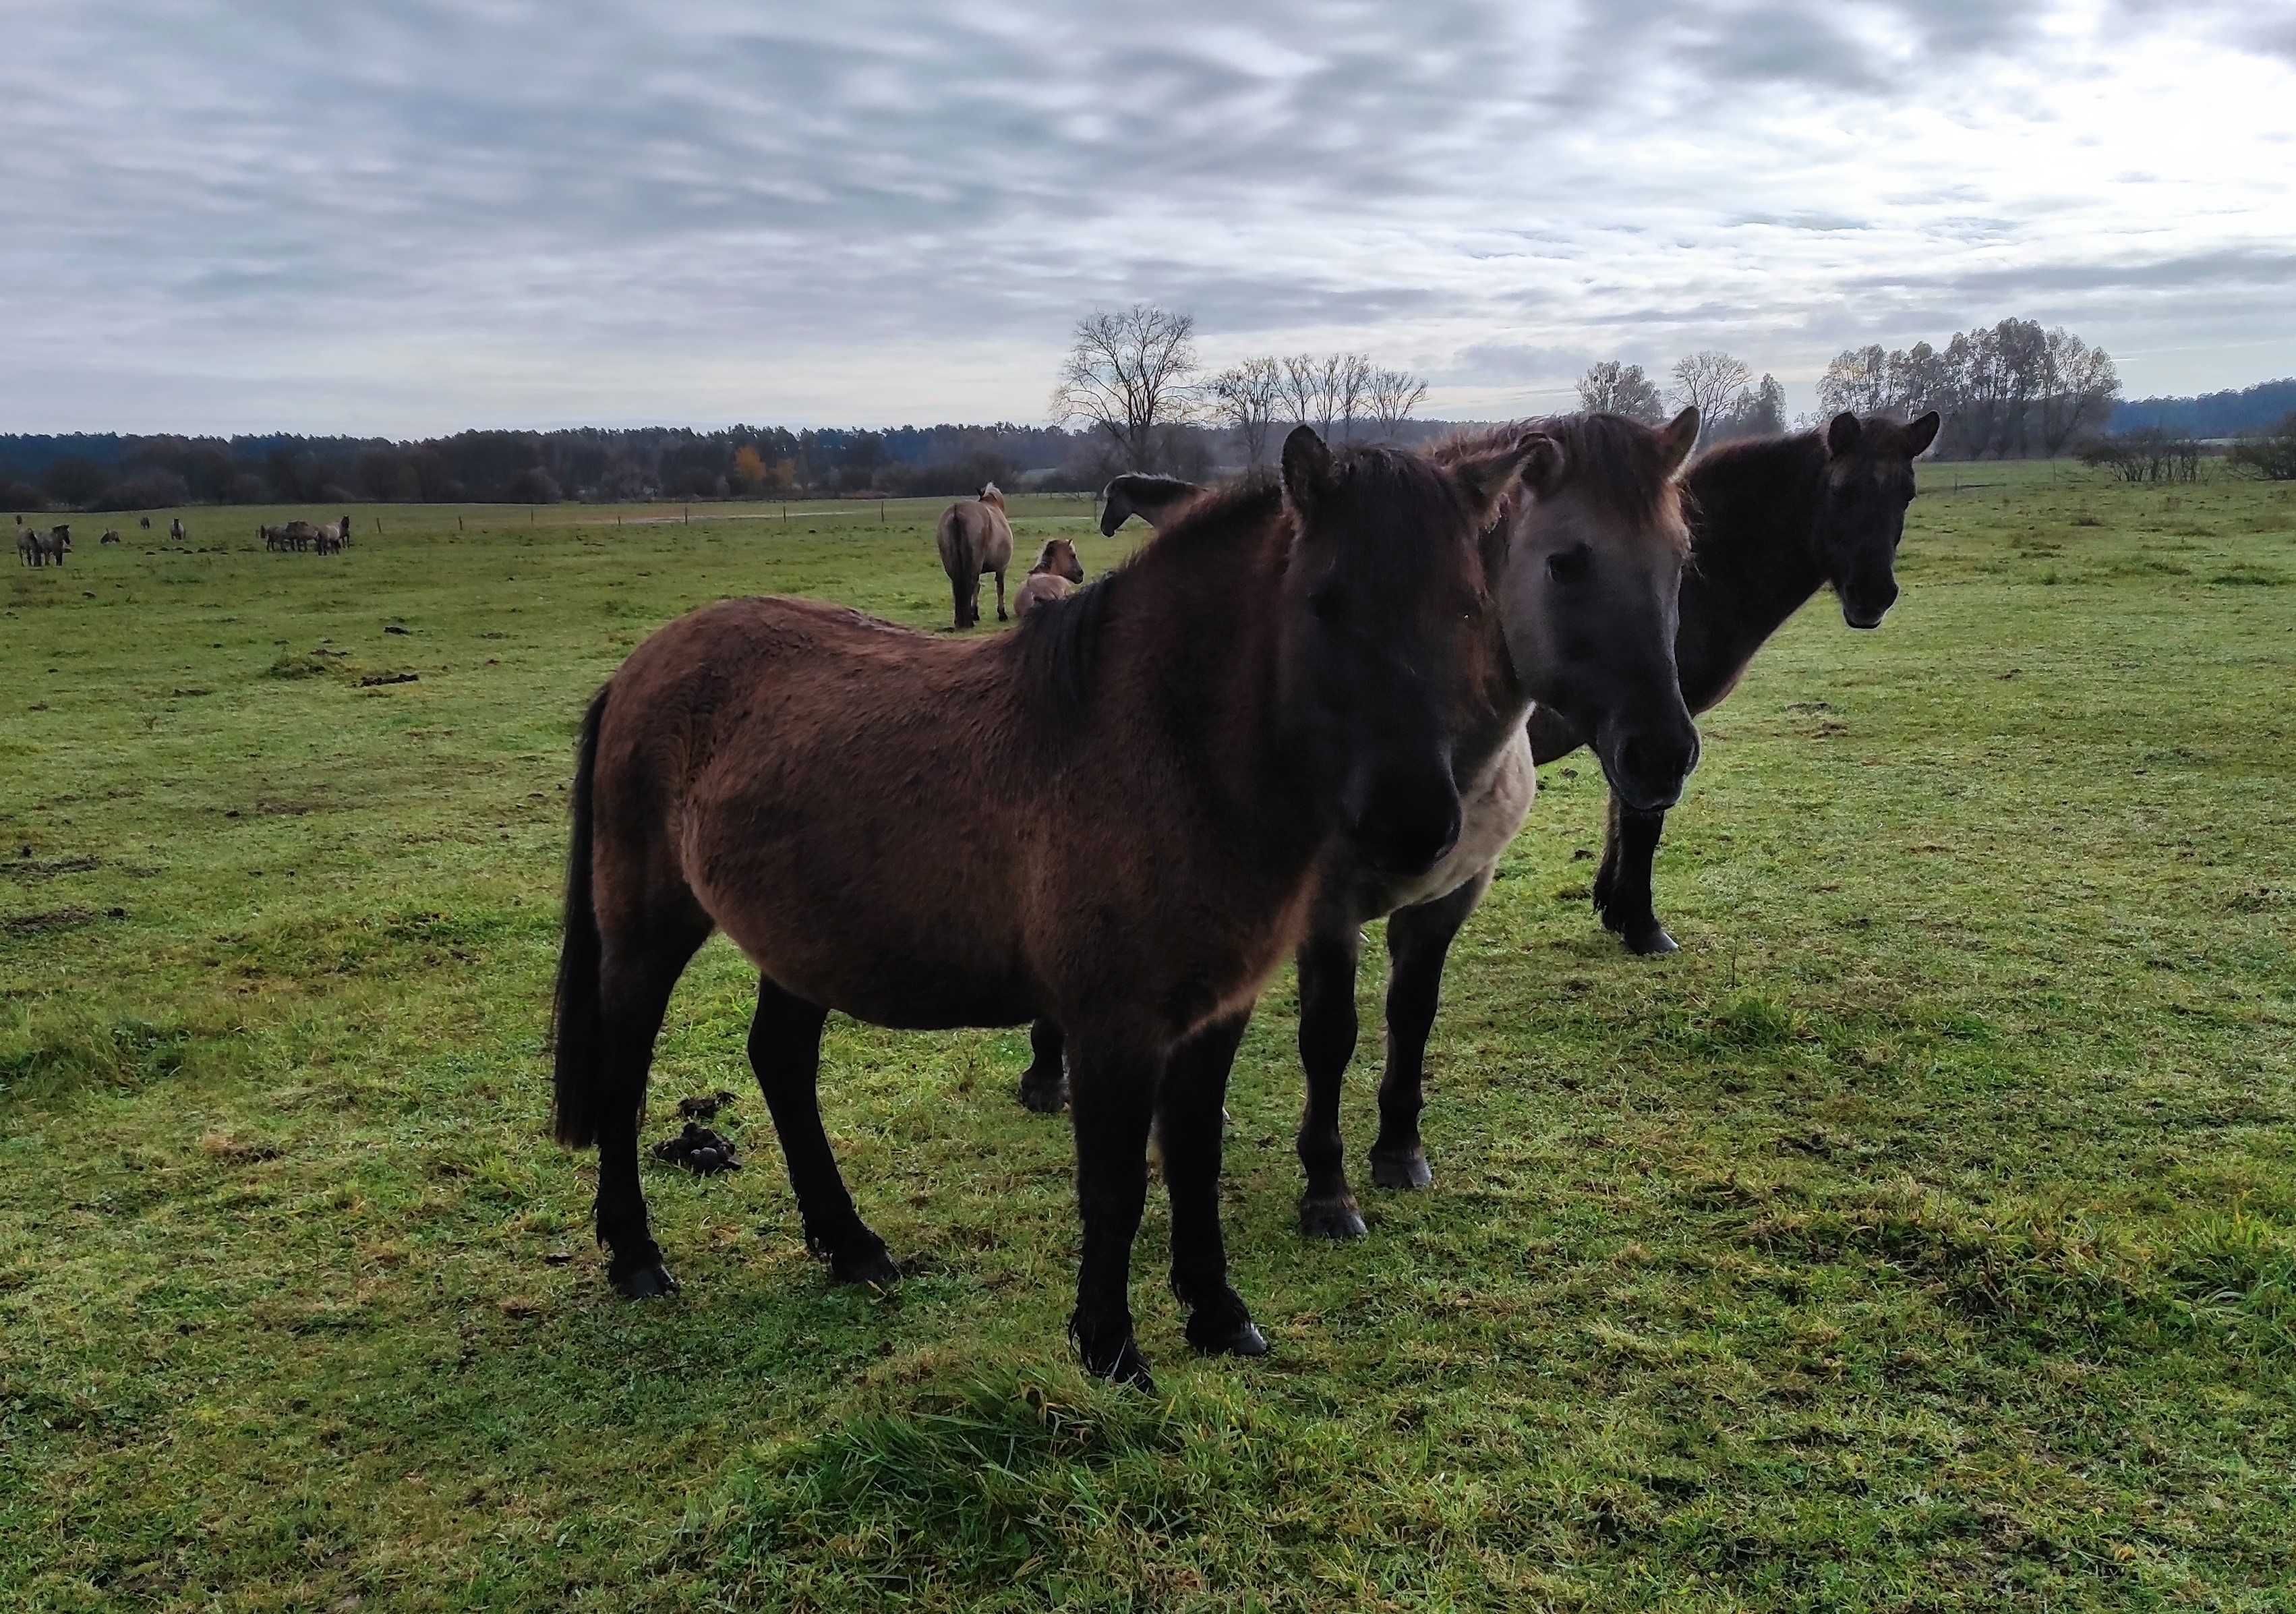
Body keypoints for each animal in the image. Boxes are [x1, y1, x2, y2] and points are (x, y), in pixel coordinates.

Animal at [932, 482, 1015, 629]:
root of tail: (956, 511)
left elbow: (978, 587)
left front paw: (975, 613)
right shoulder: (1001, 568)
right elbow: (1000, 588)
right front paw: (1002, 614)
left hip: (952, 565)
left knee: (958, 586)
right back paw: (968, 622)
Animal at [1552, 411, 1947, 955]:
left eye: (1906, 493)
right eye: (1842, 490)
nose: (1873, 595)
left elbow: (1622, 814)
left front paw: (1616, 908)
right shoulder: (1650, 733)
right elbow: (1641, 819)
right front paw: (1643, 926)